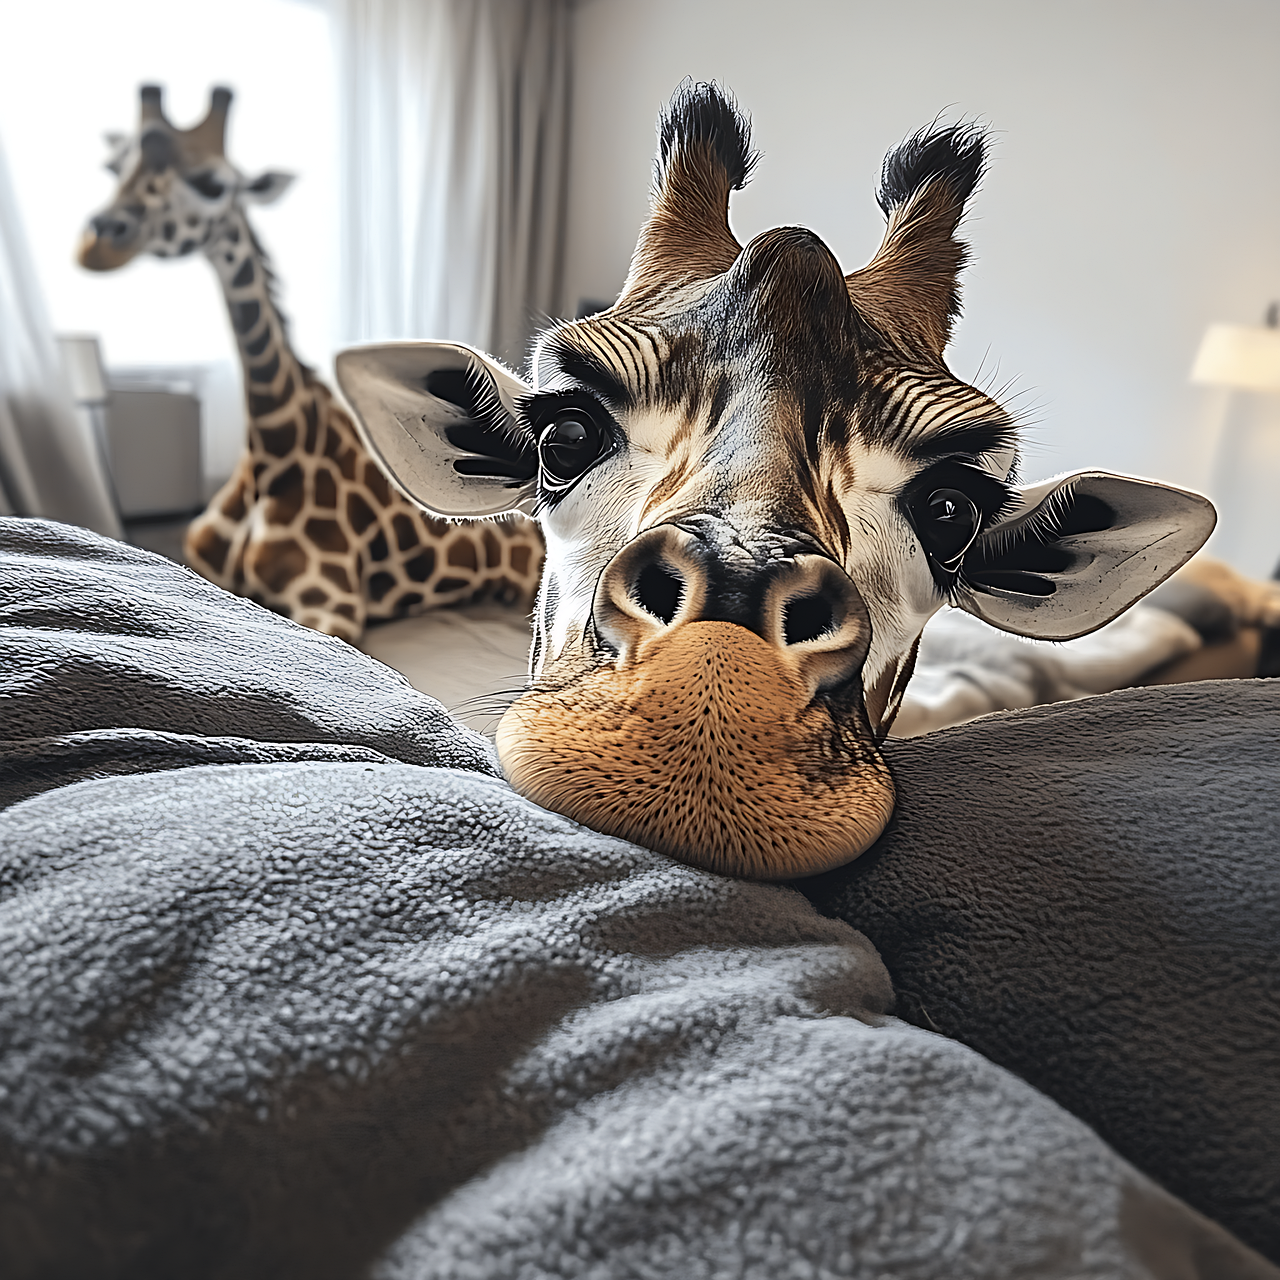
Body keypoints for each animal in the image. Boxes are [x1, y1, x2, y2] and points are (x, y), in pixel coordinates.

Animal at [78, 84, 543, 643]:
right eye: (114, 166)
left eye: (213, 184)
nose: (96, 243)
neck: (273, 450)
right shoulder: (201, 572)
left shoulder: (333, 605)